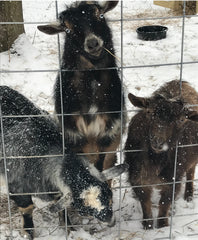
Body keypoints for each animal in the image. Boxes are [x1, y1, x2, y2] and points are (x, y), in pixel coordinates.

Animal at [0, 86, 127, 238]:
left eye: (109, 195)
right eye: (83, 209)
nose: (111, 222)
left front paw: (69, 228)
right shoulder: (17, 187)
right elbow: (27, 209)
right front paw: (27, 234)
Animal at [37, 0, 125, 174]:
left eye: (100, 15)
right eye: (67, 29)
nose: (92, 43)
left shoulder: (108, 133)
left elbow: (100, 164)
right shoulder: (73, 134)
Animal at [124, 80, 198, 229]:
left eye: (182, 120)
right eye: (149, 112)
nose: (158, 141)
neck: (155, 159)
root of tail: (181, 82)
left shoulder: (173, 178)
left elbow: (164, 203)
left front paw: (162, 225)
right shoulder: (138, 177)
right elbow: (145, 202)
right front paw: (147, 225)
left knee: (191, 171)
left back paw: (188, 194)